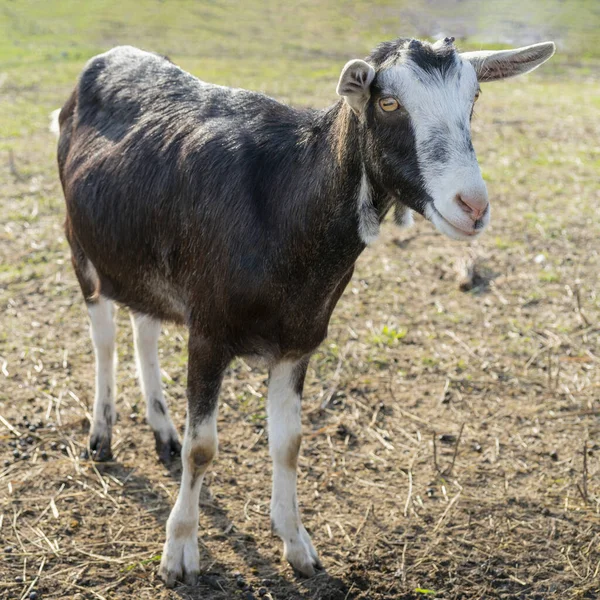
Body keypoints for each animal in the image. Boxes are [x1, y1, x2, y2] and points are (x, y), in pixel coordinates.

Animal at [56, 38, 552, 584]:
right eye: (388, 103)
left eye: (475, 96)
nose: (473, 205)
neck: (281, 209)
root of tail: (106, 59)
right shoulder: (208, 332)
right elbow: (202, 447)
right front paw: (180, 553)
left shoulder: (301, 340)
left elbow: (289, 442)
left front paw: (297, 544)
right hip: (80, 244)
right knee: (104, 334)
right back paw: (101, 436)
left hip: (140, 256)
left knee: (144, 324)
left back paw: (162, 433)